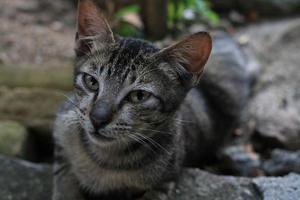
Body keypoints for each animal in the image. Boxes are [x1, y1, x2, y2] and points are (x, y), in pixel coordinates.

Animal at [52, 0, 246, 200]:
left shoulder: (164, 183)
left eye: (139, 96)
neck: (105, 159)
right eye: (91, 82)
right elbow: (64, 179)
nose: (97, 119)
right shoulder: (62, 130)